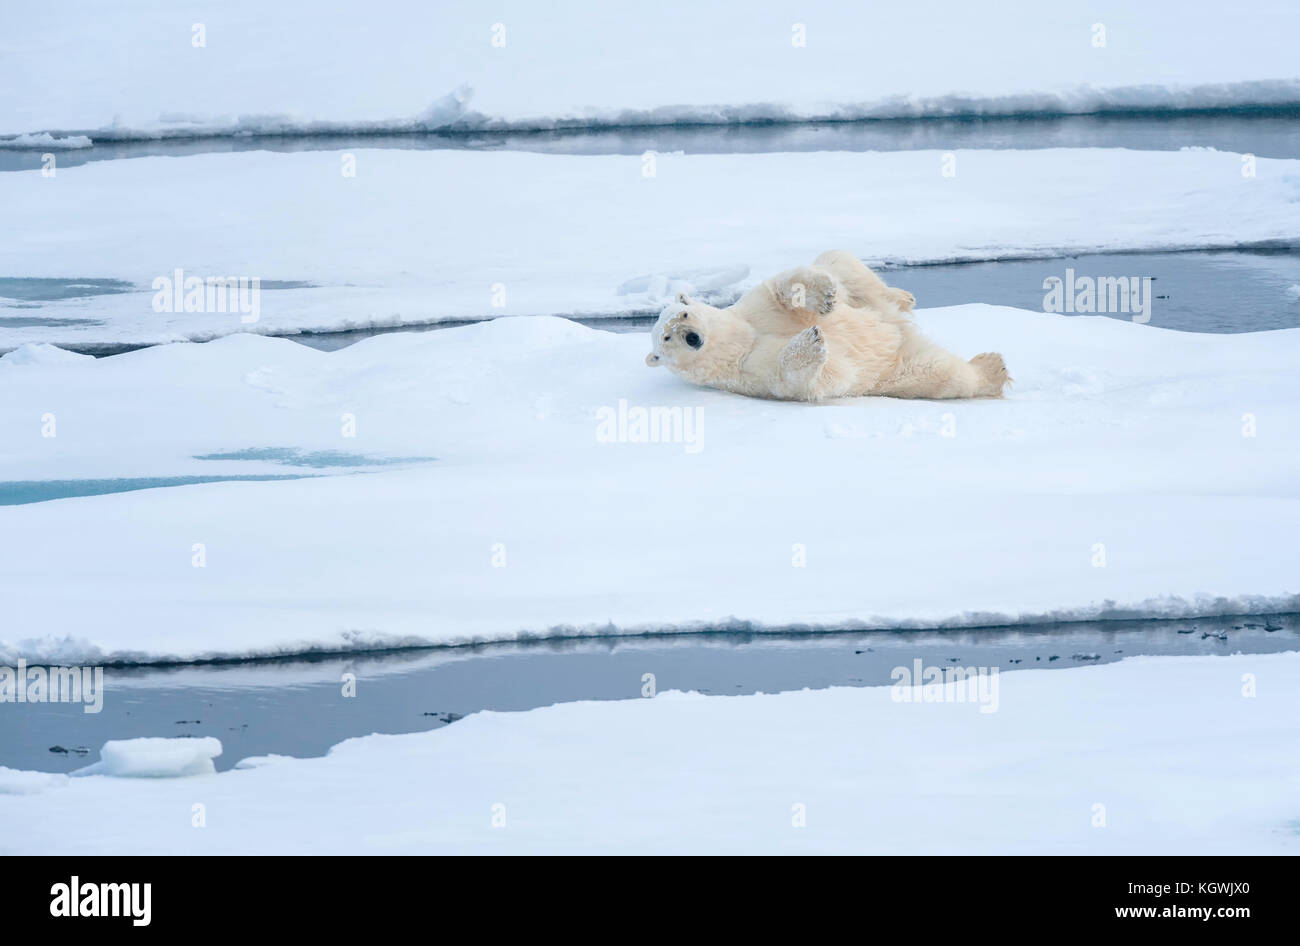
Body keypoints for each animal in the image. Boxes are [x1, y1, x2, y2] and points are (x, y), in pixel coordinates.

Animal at [644, 249, 1008, 400]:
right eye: (667, 339)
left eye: (684, 316)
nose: (693, 337)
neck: (739, 341)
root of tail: (897, 327)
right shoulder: (748, 371)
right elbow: (815, 378)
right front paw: (812, 342)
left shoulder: (754, 311)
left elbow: (780, 290)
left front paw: (823, 300)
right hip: (899, 366)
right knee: (940, 373)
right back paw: (992, 368)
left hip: (862, 293)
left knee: (842, 264)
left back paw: (901, 296)